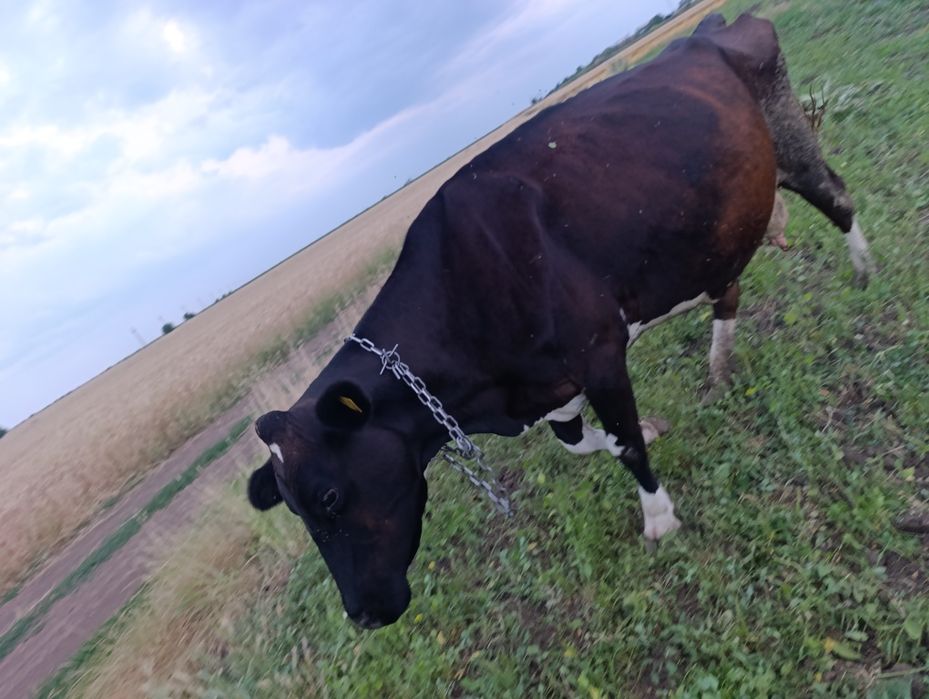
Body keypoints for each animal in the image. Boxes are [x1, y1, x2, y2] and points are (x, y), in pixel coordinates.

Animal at [247, 13, 875, 629]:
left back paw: (864, 273)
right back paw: (720, 368)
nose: (364, 614)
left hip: (791, 138)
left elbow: (625, 445)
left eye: (328, 497)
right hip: (715, 228)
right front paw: (653, 430)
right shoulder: (547, 387)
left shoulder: (598, 353)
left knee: (838, 197)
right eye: (294, 509)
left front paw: (659, 518)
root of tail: (716, 25)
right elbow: (580, 443)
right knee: (729, 289)